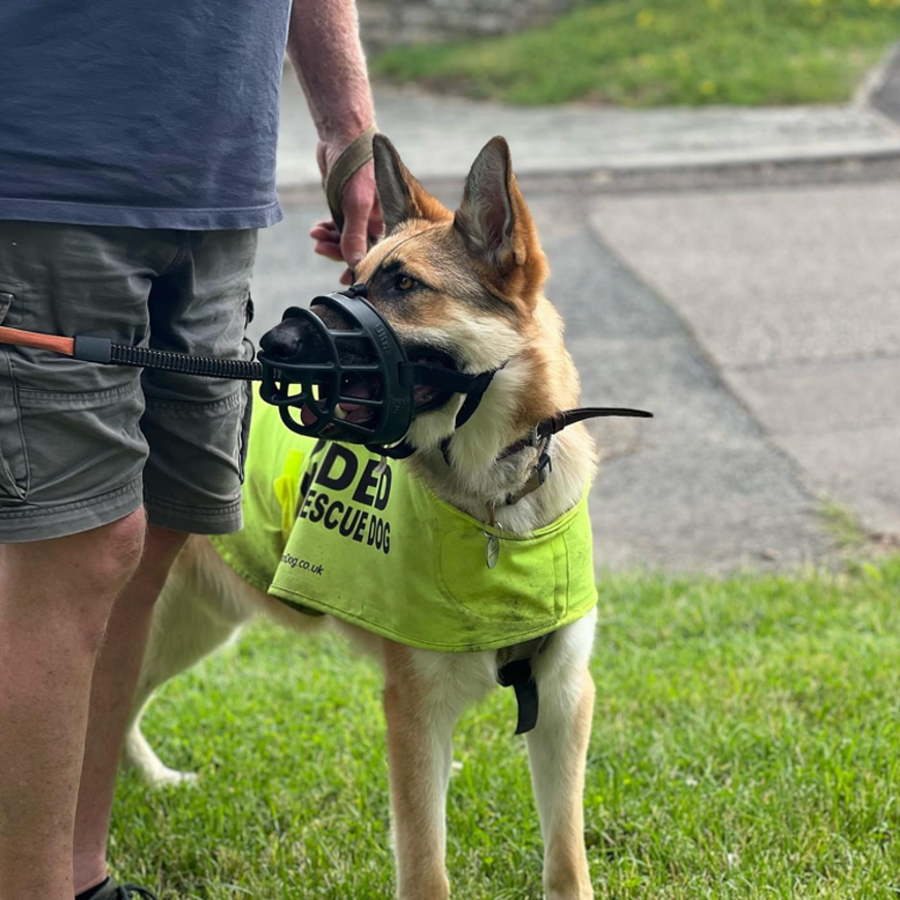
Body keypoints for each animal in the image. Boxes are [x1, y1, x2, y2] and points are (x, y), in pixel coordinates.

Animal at [121, 135, 596, 900]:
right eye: (355, 278)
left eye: (404, 285)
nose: (275, 346)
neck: (494, 506)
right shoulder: (413, 713)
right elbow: (426, 865)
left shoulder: (560, 701)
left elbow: (565, 857)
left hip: (192, 627)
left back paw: (154, 781)